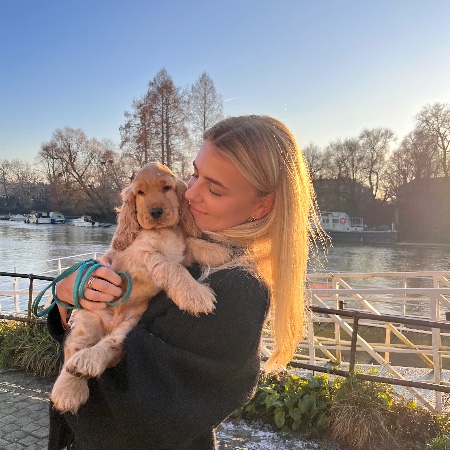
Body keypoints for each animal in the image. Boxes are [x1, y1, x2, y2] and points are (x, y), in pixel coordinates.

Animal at [50, 162, 231, 413]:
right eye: (140, 193)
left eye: (166, 188)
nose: (155, 212)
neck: (163, 232)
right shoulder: (140, 255)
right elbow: (169, 266)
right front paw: (195, 296)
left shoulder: (181, 251)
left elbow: (190, 243)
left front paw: (217, 252)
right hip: (89, 321)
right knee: (73, 351)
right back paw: (68, 388)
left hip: (129, 324)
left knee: (112, 346)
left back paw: (89, 362)